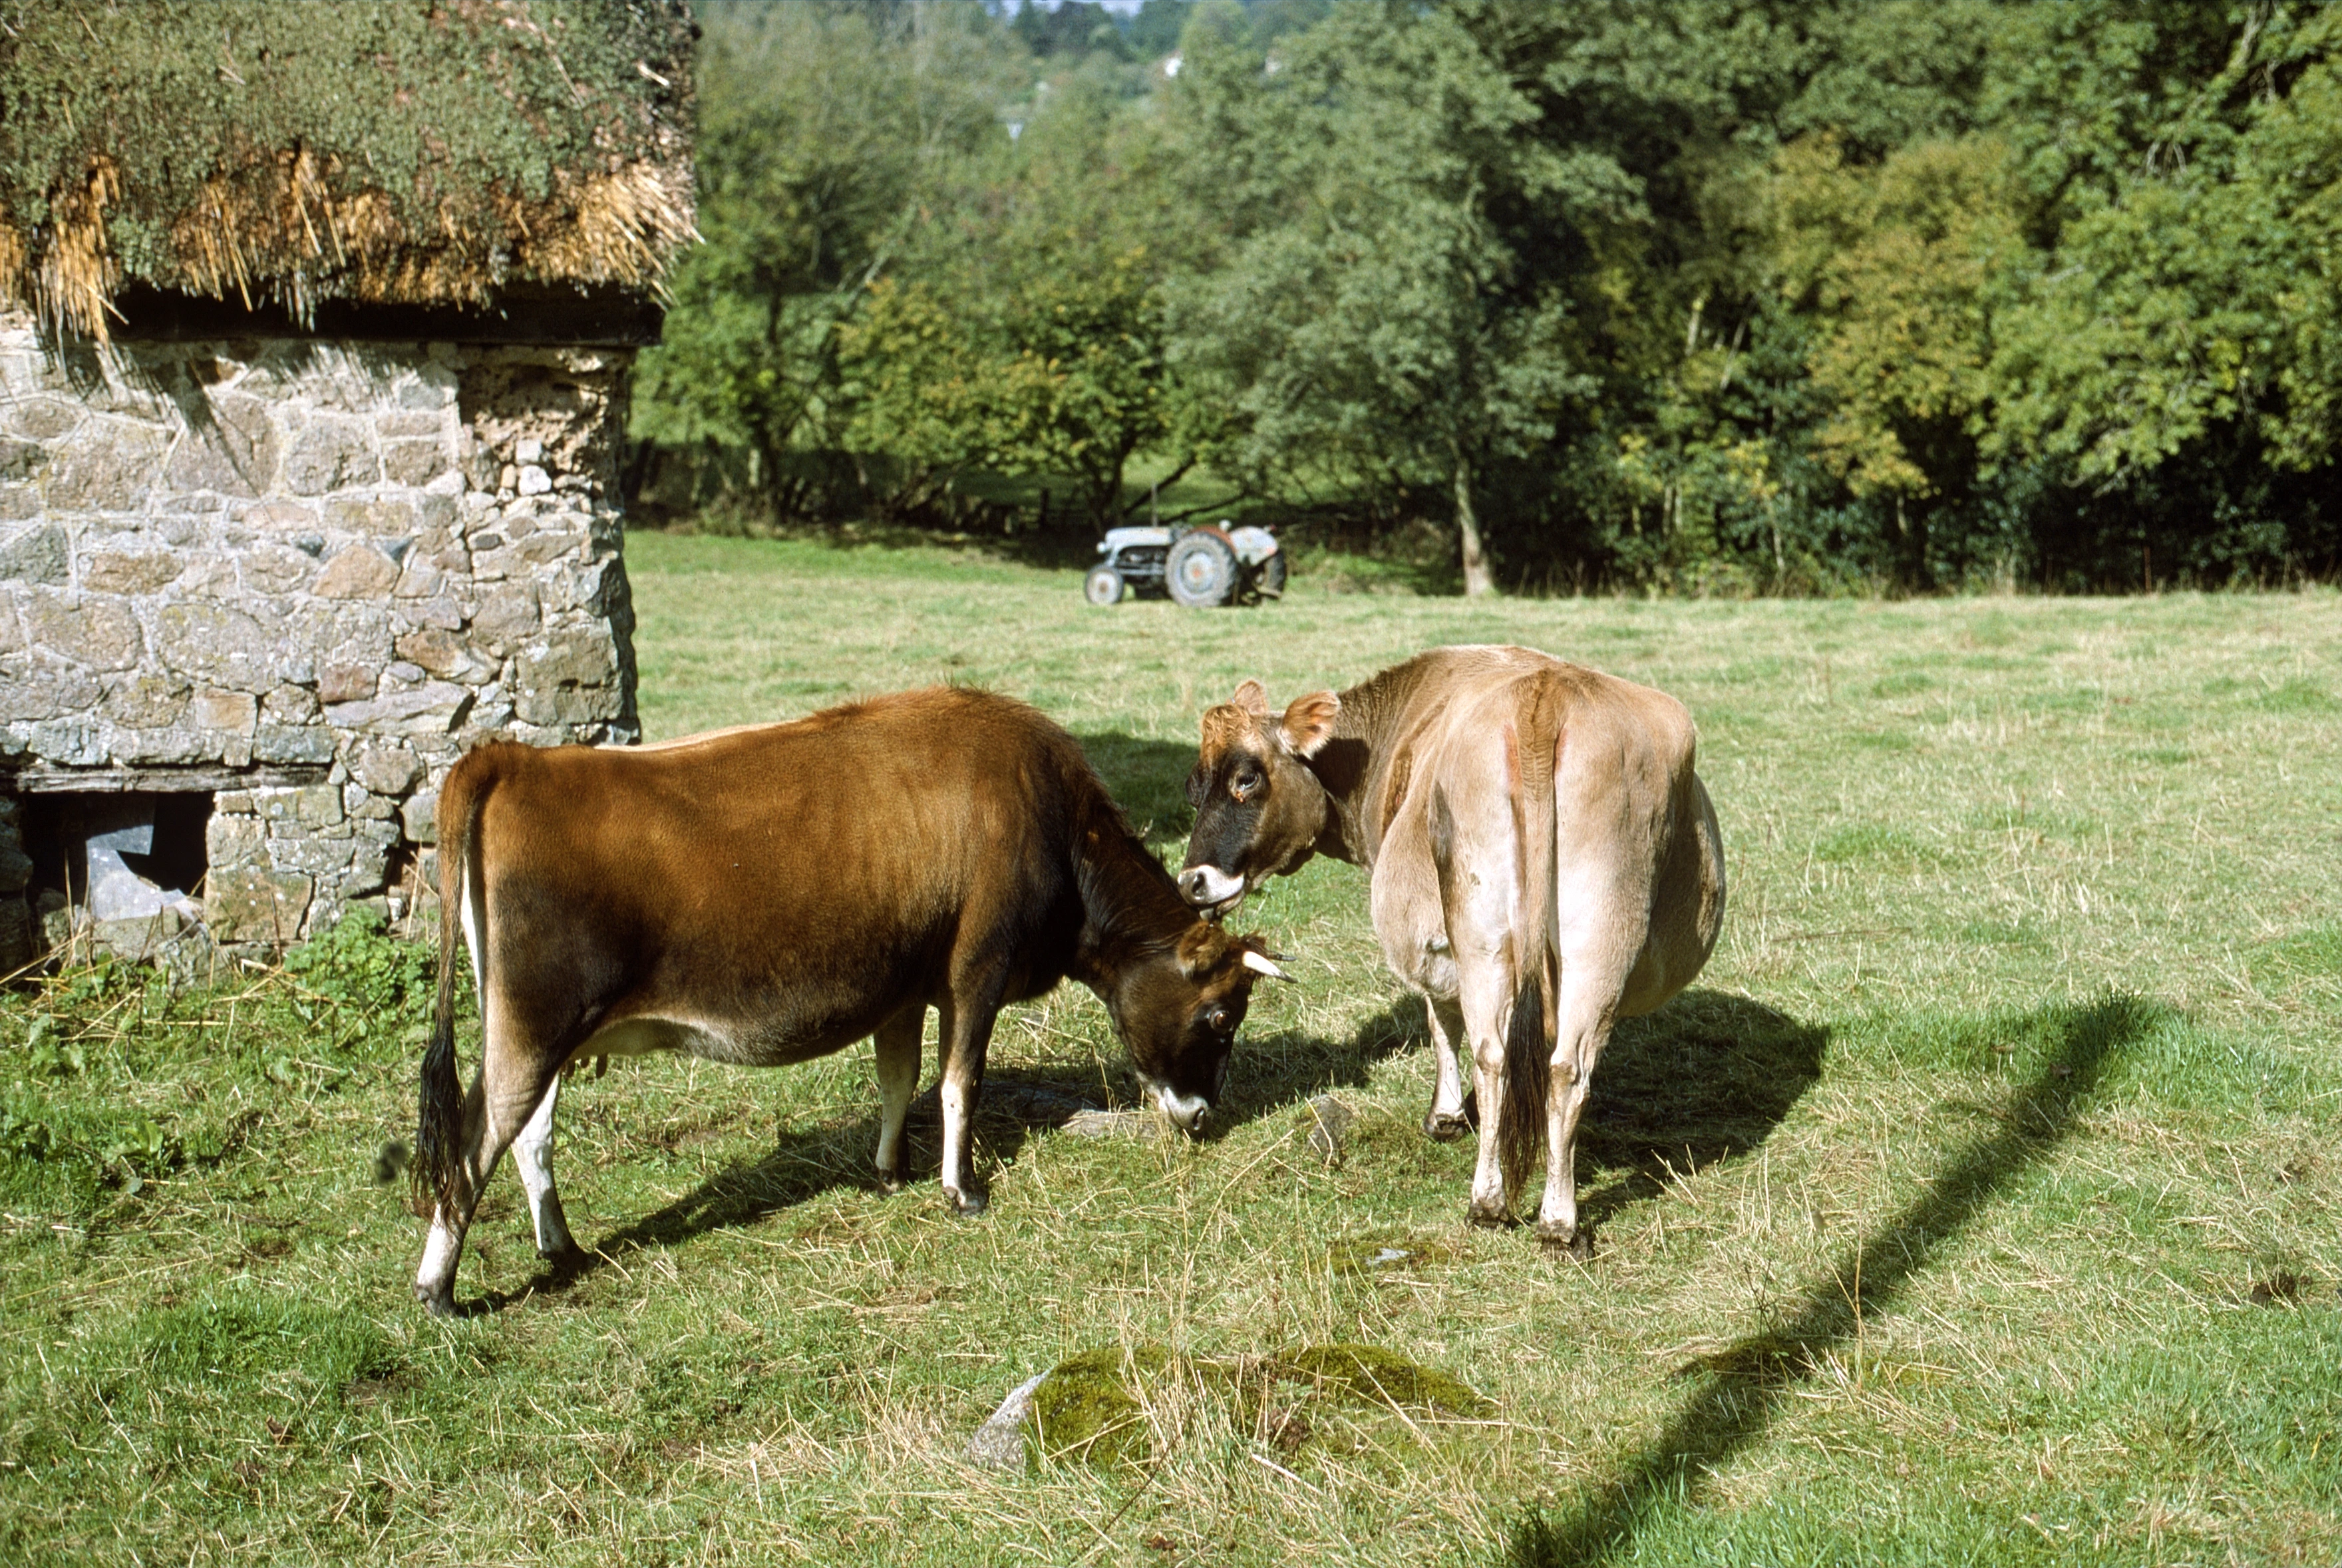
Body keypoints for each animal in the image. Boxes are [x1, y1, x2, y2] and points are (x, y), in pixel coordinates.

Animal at [411, 686, 1287, 1315]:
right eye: (1218, 1015)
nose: (1201, 1115)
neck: (1051, 820)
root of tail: (512, 759)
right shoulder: (978, 968)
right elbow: (960, 1080)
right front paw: (961, 1189)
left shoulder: (902, 984)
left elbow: (899, 1078)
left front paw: (890, 1168)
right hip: (533, 1025)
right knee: (473, 1139)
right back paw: (439, 1289)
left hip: (531, 1027)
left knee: (529, 1135)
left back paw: (560, 1246)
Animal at [1177, 647, 1724, 1252]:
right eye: (1193, 786)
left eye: (1247, 777)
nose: (1191, 882)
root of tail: (1544, 697)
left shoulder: (1431, 933)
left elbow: (1442, 1018)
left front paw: (1448, 1116)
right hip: (1597, 934)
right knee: (1558, 1066)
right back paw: (1557, 1219)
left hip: (1486, 926)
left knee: (1493, 1052)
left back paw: (1489, 1203)